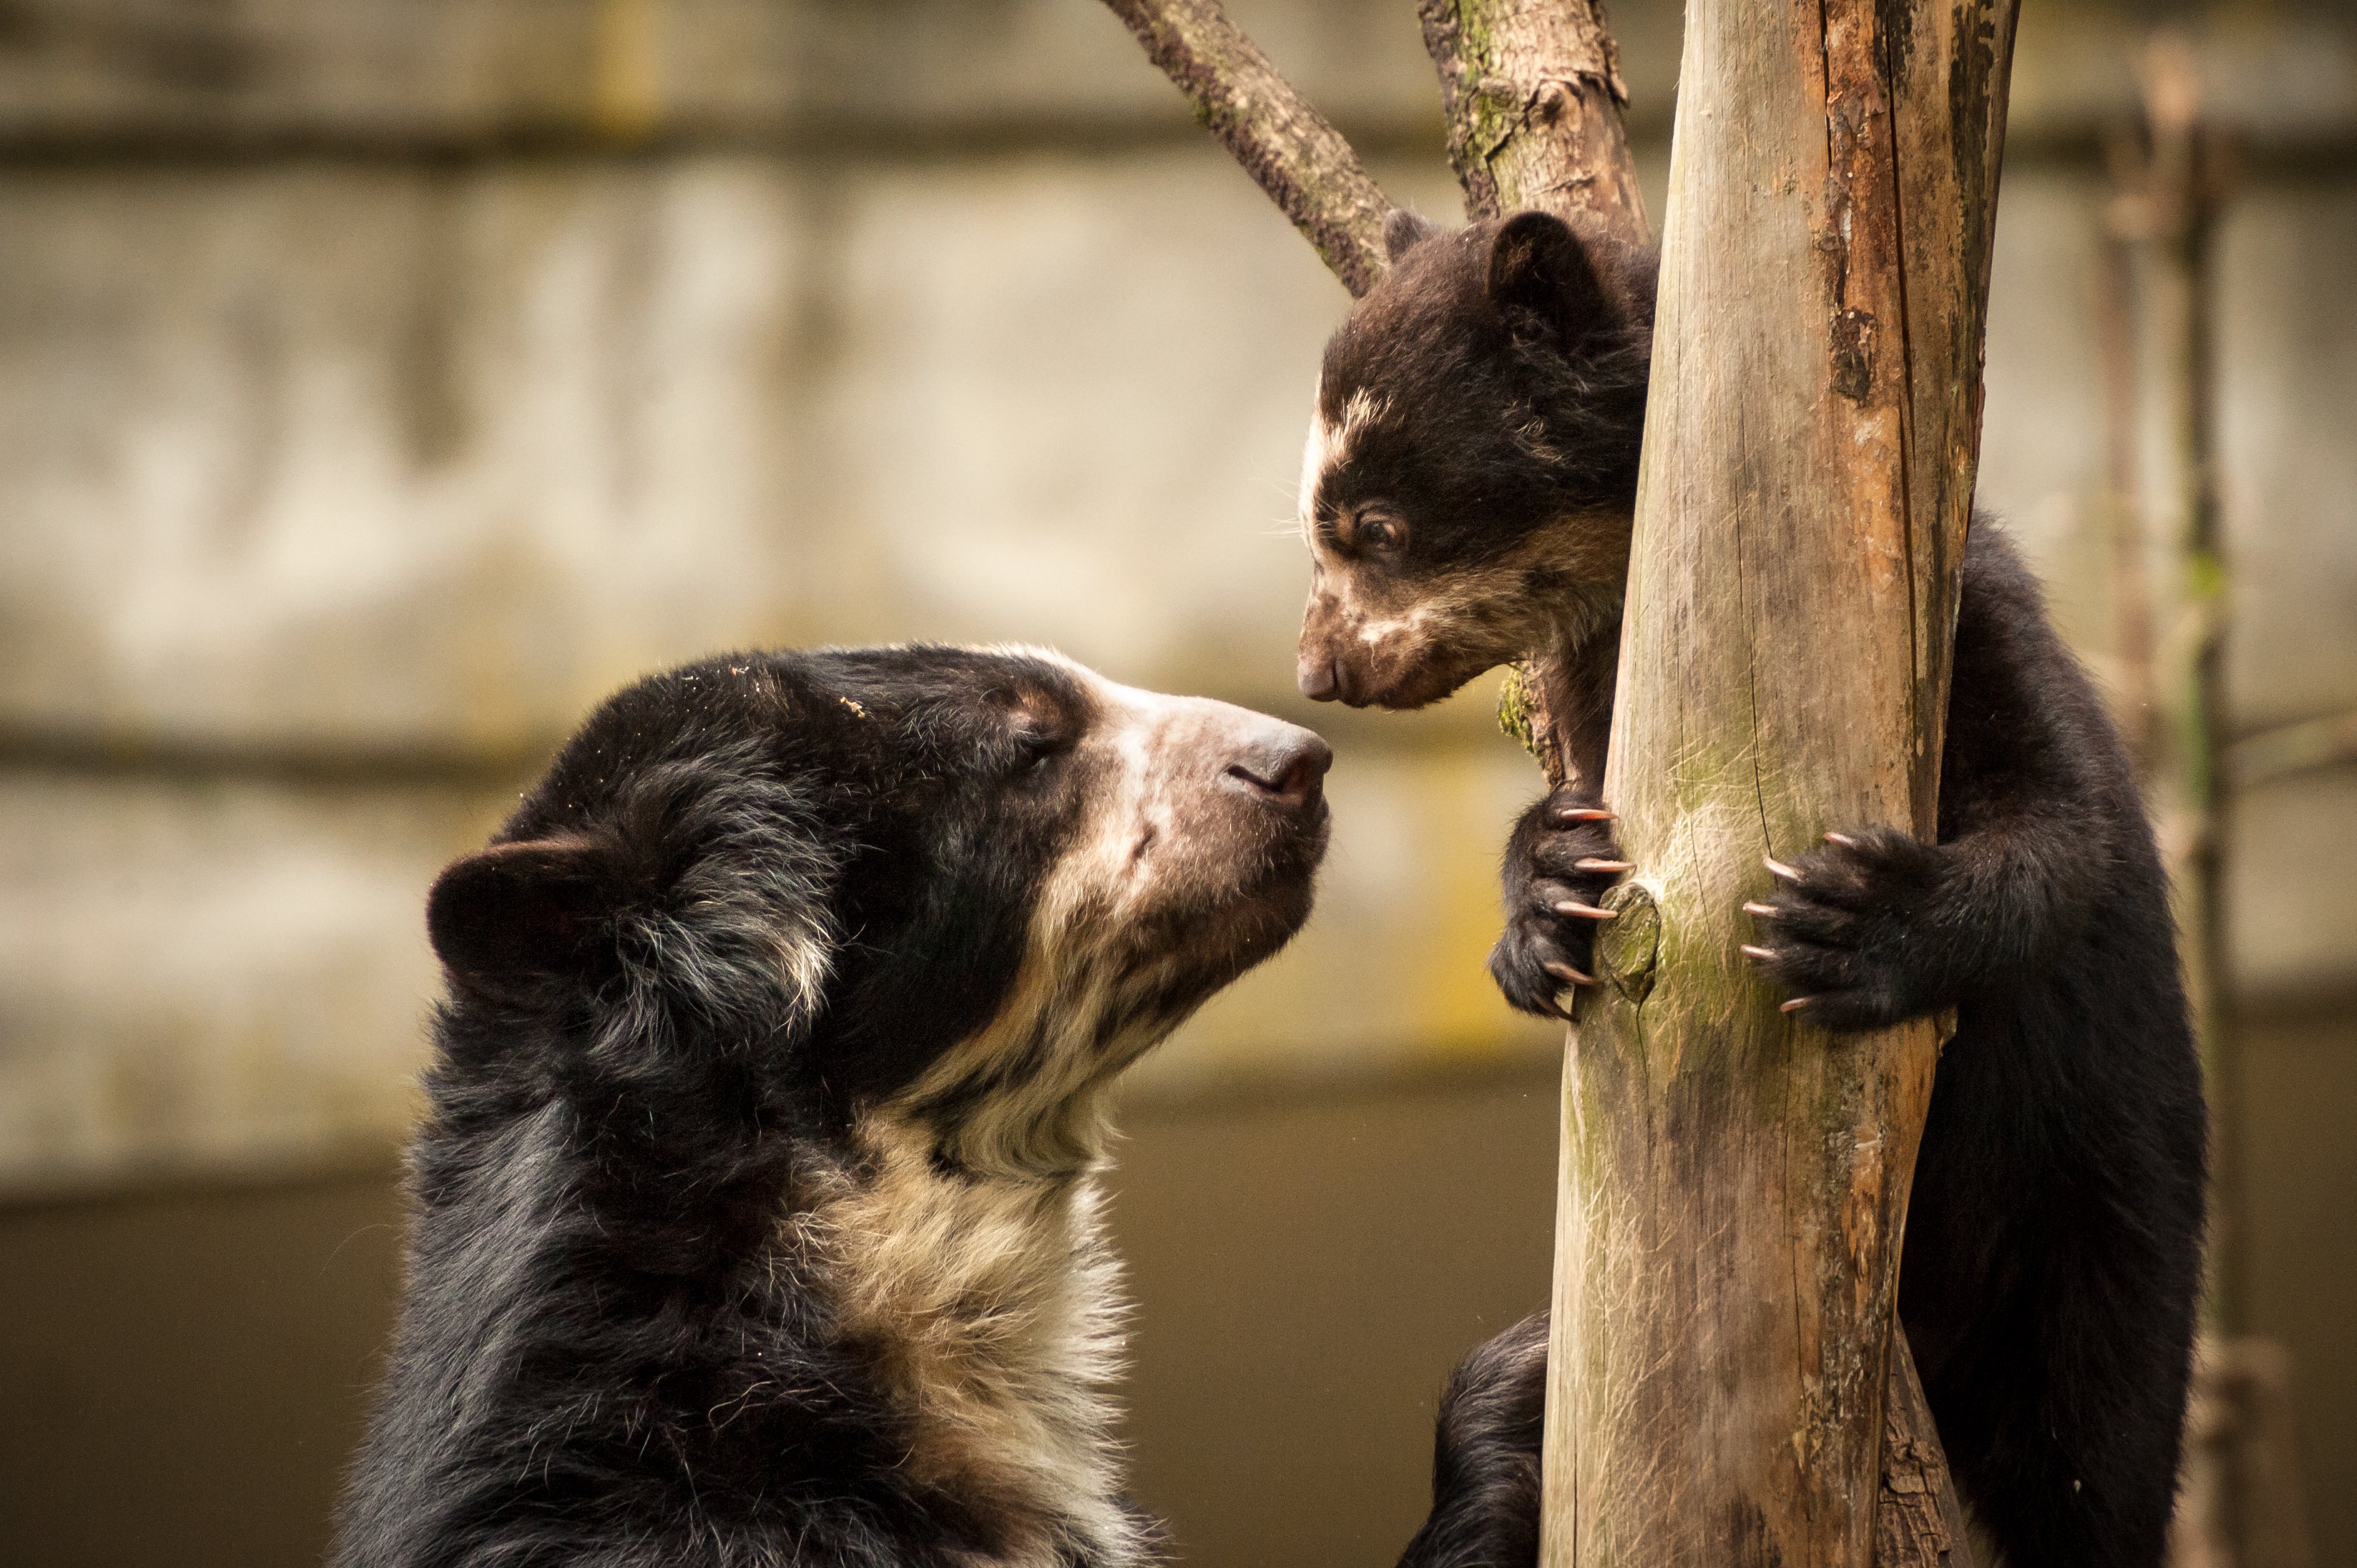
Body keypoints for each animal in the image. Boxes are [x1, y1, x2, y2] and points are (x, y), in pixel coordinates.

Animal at [1301, 207, 2196, 1565]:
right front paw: (1546, 905)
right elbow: (1579, 822)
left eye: (1378, 527)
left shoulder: (1969, 622)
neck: (1631, 589)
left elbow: (2063, 820)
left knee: (2088, 1459)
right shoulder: (1594, 695)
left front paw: (1848, 925)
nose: (1317, 669)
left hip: (2102, 1222)